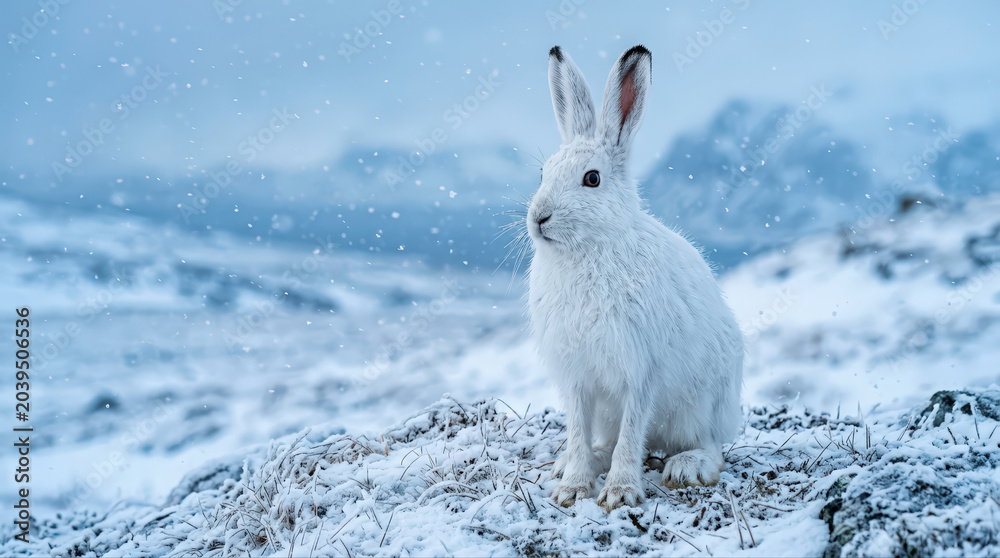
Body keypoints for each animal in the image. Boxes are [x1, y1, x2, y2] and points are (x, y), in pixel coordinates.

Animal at [527, 45, 744, 511]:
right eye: (543, 173)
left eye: (592, 178)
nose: (538, 218)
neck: (588, 250)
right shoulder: (577, 376)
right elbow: (578, 429)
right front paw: (572, 488)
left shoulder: (641, 369)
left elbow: (632, 433)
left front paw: (620, 493)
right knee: (603, 440)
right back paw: (576, 461)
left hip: (702, 405)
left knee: (709, 445)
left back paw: (687, 467)